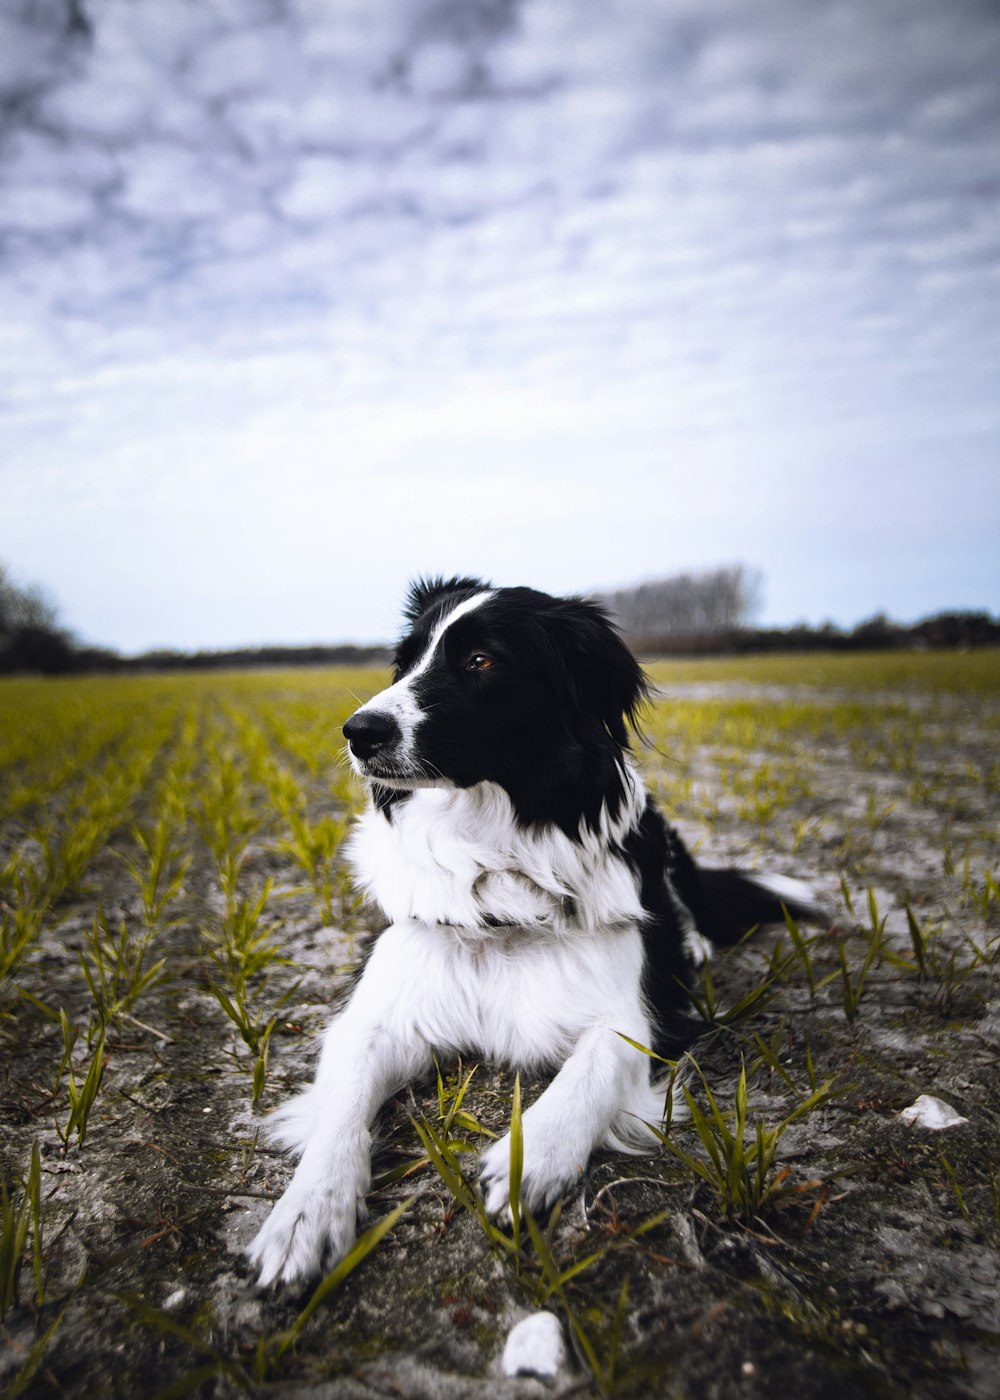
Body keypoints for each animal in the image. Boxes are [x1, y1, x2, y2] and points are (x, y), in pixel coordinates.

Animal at [247, 574, 817, 1282]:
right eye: (404, 662)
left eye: (480, 661)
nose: (358, 731)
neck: (495, 864)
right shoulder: (376, 1014)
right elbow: (342, 1108)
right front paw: (306, 1213)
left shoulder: (637, 1017)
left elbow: (592, 1070)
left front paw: (529, 1159)